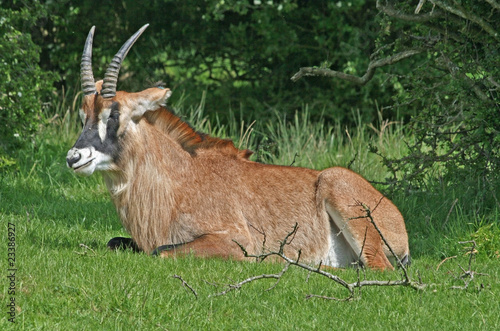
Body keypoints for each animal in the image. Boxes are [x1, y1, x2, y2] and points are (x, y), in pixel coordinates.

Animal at [67, 24, 410, 272]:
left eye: (114, 115)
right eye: (84, 116)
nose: (74, 157)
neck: (179, 180)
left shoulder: (235, 241)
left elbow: (160, 252)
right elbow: (115, 241)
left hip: (337, 189)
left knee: (379, 269)